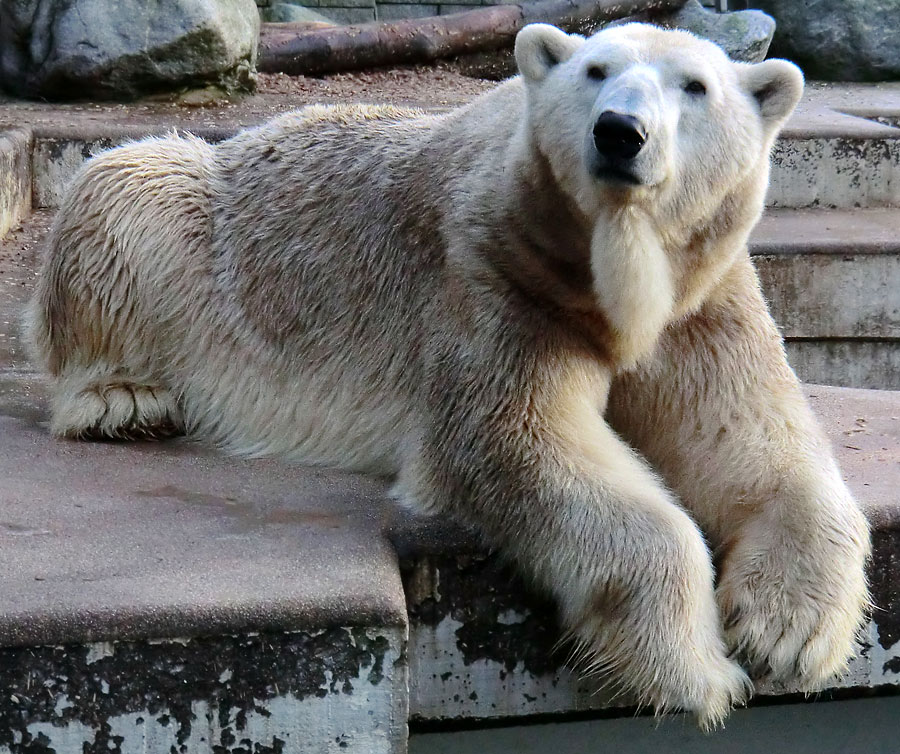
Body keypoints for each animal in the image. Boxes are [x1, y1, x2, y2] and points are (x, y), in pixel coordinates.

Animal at [31, 23, 868, 724]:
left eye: (695, 85)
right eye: (596, 70)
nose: (619, 131)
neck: (611, 279)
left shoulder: (703, 297)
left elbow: (749, 440)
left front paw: (786, 632)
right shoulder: (500, 272)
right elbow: (513, 439)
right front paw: (698, 669)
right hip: (198, 222)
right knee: (127, 185)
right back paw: (122, 400)